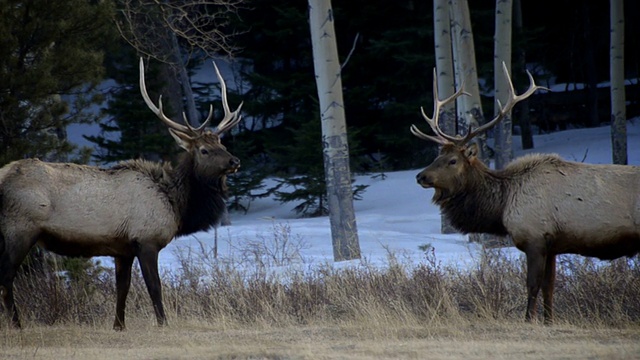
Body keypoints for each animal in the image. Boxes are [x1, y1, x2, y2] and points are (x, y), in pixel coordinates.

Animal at [0, 57, 242, 330]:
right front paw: (163, 323)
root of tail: (3, 176)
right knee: (6, 278)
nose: (235, 161)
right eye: (203, 150)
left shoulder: (122, 250)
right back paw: (17, 324)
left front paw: (119, 325)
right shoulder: (146, 240)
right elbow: (154, 287)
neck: (176, 205)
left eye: (222, 144)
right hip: (19, 229)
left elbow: (122, 289)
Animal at [410, 63, 640, 324]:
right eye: (437, 156)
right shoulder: (553, 245)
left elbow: (532, 285)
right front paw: (549, 321)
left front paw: (529, 320)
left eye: (452, 160)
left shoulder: (535, 237)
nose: (420, 176)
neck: (502, 206)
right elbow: (550, 287)